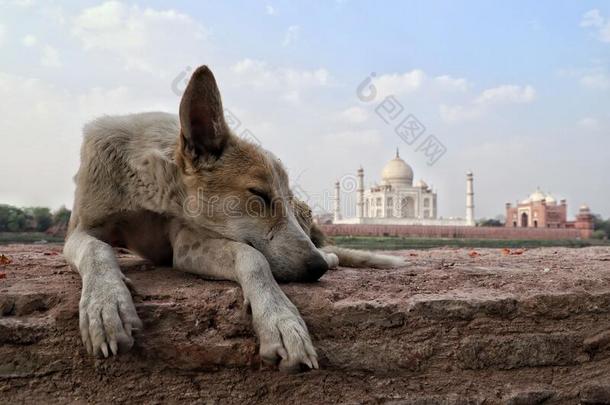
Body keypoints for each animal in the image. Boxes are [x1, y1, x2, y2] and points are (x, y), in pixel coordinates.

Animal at [64, 64, 404, 370]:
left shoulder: (185, 245)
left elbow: (254, 258)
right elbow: (97, 249)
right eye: (259, 195)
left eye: (286, 199)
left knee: (326, 249)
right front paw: (105, 305)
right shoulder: (79, 232)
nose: (316, 268)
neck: (148, 185)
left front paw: (280, 322)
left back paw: (329, 258)